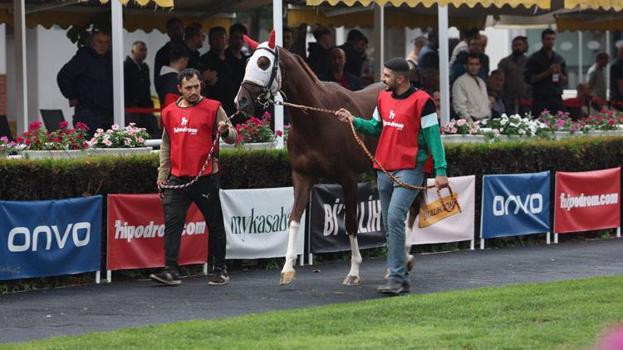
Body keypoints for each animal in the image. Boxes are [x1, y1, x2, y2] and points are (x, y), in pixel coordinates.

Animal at [234, 43, 380, 284]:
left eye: (263, 63)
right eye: (247, 61)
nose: (241, 101)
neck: (317, 119)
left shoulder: (348, 177)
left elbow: (351, 222)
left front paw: (353, 272)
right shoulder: (302, 175)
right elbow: (294, 218)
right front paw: (287, 268)